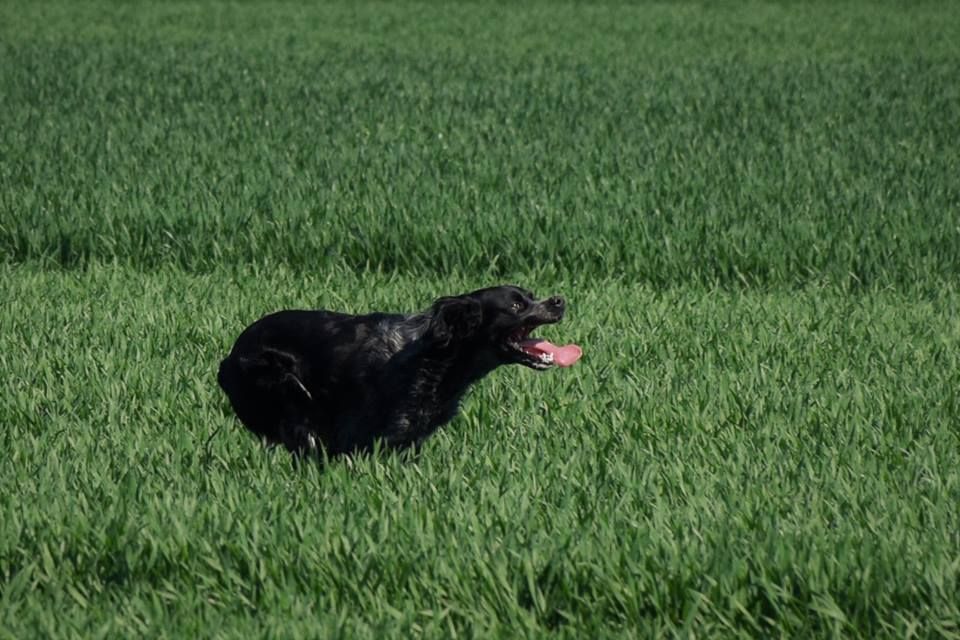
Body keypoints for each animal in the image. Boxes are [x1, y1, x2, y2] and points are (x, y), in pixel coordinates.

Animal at [217, 284, 576, 456]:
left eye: (531, 296)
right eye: (516, 305)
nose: (559, 301)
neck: (435, 358)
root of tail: (229, 359)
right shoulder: (363, 438)